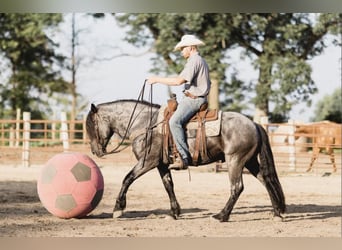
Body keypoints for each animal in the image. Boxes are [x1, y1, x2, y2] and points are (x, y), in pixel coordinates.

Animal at [86, 98, 286, 222]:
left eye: (91, 125)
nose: (95, 151)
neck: (145, 124)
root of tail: (254, 123)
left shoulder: (147, 162)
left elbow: (127, 178)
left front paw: (118, 209)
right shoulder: (161, 164)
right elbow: (168, 185)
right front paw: (174, 212)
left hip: (235, 160)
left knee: (237, 187)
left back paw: (221, 216)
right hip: (249, 161)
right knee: (266, 180)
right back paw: (277, 213)